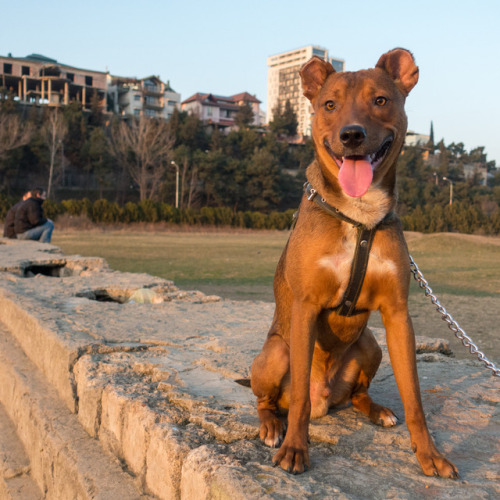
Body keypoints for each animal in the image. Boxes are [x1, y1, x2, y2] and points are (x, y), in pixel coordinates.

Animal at [252, 48, 458, 478]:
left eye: (380, 100)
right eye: (329, 105)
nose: (352, 135)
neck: (359, 213)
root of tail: (327, 399)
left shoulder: (398, 315)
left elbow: (414, 398)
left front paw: (428, 454)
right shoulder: (306, 307)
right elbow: (298, 399)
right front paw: (295, 448)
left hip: (371, 344)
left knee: (358, 393)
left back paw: (376, 410)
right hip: (277, 351)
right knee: (274, 401)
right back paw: (271, 426)